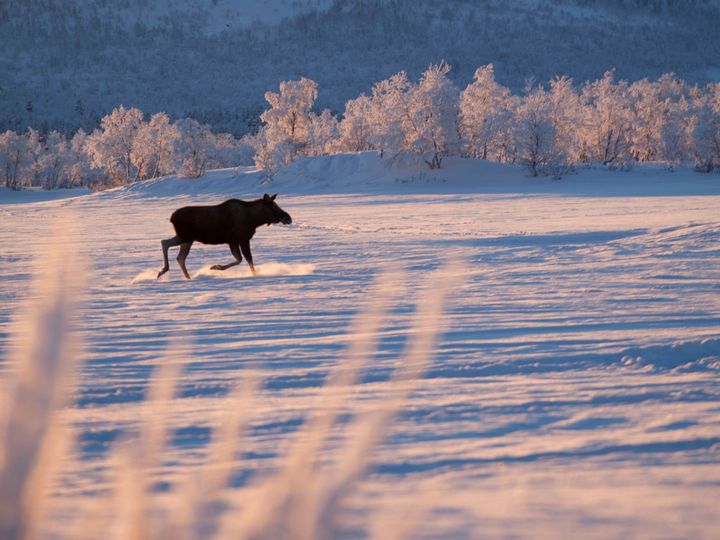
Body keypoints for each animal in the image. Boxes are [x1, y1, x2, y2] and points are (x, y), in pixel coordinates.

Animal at [158, 193, 292, 278]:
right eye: (273, 206)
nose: (288, 217)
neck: (255, 220)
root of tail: (172, 218)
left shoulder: (232, 241)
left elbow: (239, 259)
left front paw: (216, 267)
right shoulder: (242, 239)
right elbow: (248, 259)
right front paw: (254, 275)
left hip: (187, 239)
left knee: (177, 254)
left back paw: (185, 276)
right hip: (185, 237)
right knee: (167, 245)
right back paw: (165, 270)